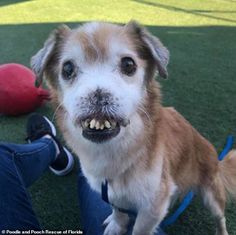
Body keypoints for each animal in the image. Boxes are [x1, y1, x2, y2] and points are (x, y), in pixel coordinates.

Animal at [30, 21, 236, 234]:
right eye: (68, 68)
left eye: (128, 64)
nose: (98, 95)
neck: (112, 153)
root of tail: (216, 161)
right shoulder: (112, 194)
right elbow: (118, 211)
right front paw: (117, 225)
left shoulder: (153, 206)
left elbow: (139, 230)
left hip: (211, 195)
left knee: (220, 218)